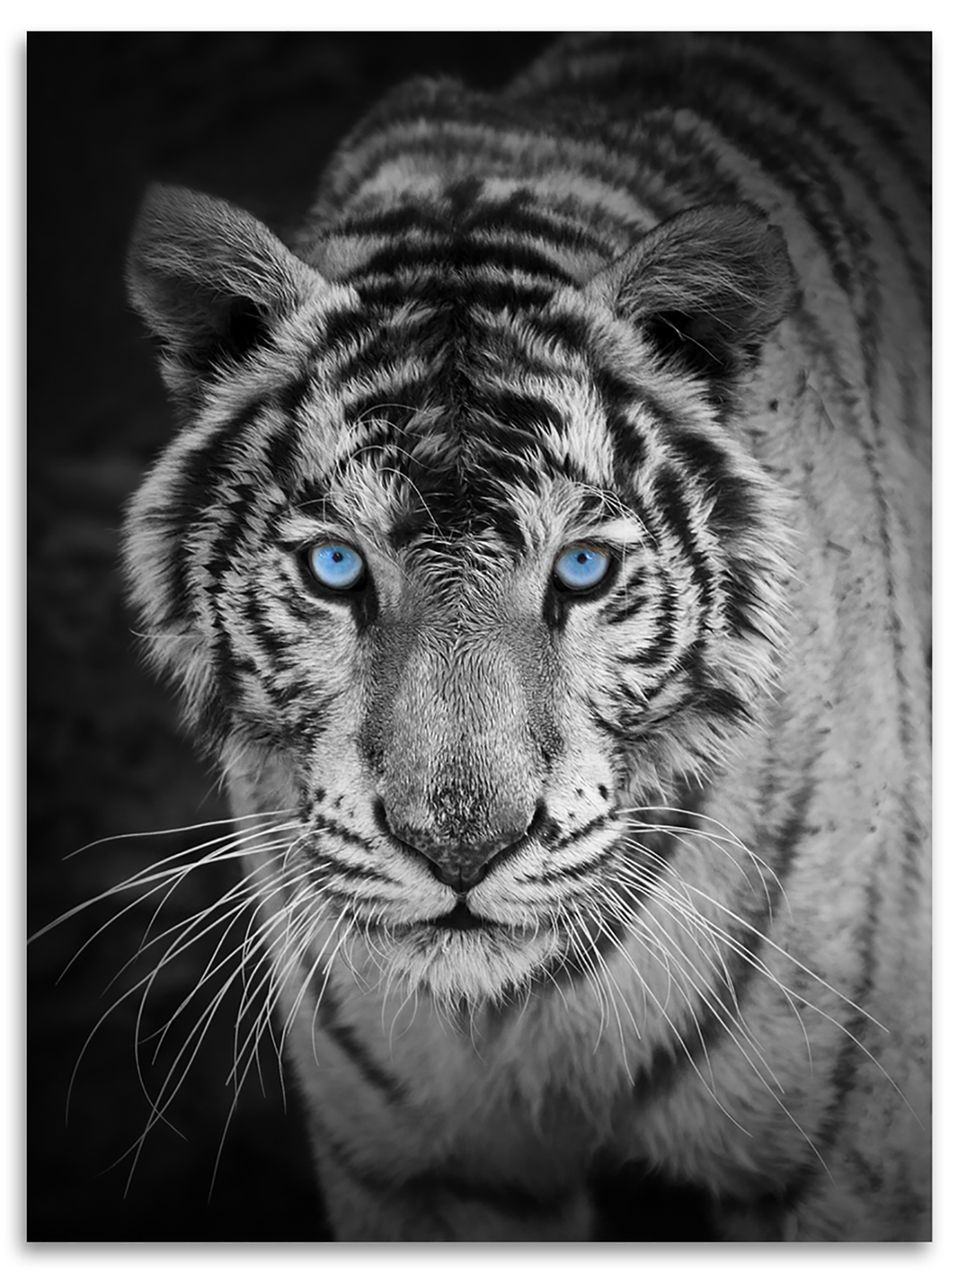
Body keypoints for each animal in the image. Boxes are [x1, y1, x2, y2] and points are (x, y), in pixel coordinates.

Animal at [121, 32, 931, 1241]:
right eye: (335, 568)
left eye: (582, 571)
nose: (462, 848)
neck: (521, 1013)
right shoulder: (427, 1171)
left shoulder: (843, 1167)